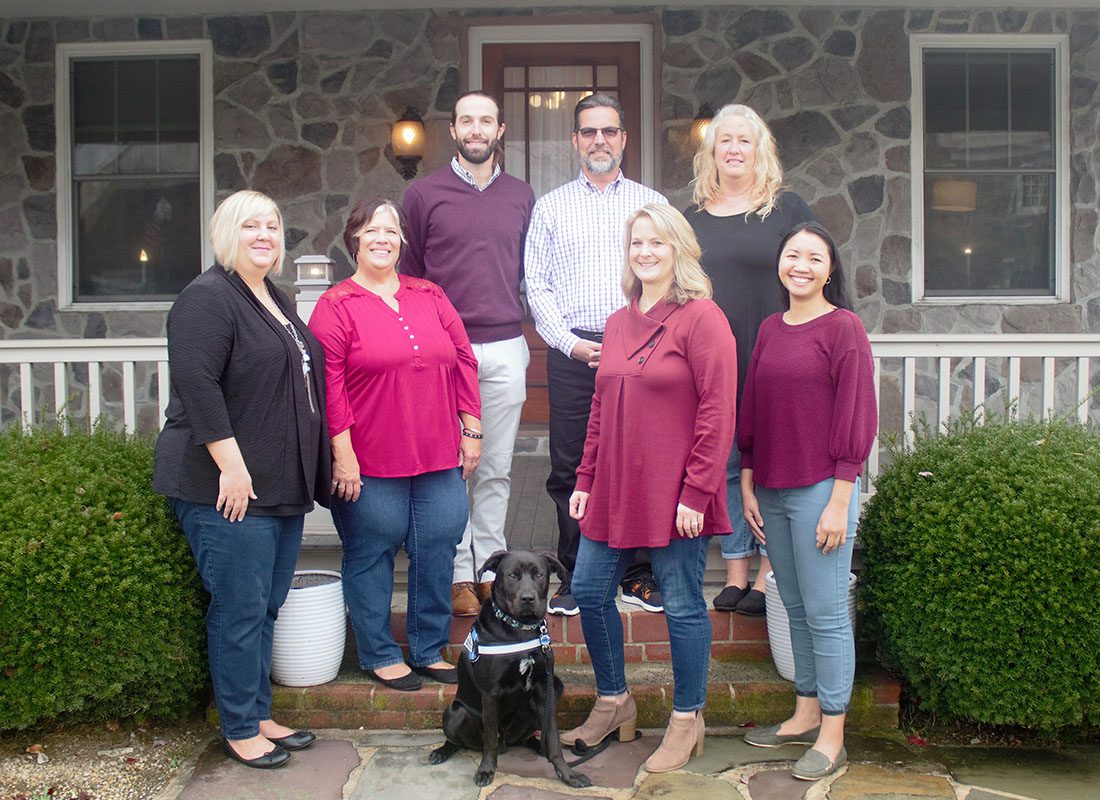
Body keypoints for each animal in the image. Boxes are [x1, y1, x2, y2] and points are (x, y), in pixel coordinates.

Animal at [426, 550, 589, 787]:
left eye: (539, 574)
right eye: (512, 575)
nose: (528, 598)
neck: (520, 628)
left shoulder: (545, 688)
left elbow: (553, 738)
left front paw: (568, 774)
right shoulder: (490, 693)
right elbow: (490, 739)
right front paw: (486, 770)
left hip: (555, 688)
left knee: (531, 738)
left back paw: (539, 748)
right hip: (455, 713)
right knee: (460, 741)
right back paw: (441, 752)